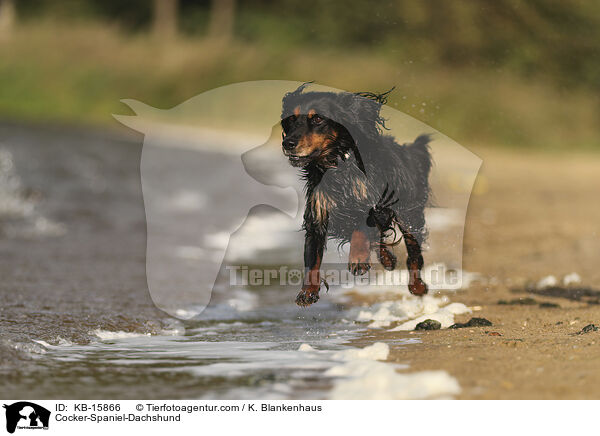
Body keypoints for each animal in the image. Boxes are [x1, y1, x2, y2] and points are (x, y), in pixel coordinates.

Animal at [282, 84, 432, 306]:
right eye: (291, 119)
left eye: (317, 119)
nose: (288, 143)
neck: (338, 167)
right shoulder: (317, 215)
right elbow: (312, 256)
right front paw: (307, 291)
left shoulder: (375, 206)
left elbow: (361, 229)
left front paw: (358, 259)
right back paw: (388, 259)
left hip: (409, 215)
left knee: (413, 253)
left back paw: (417, 286)